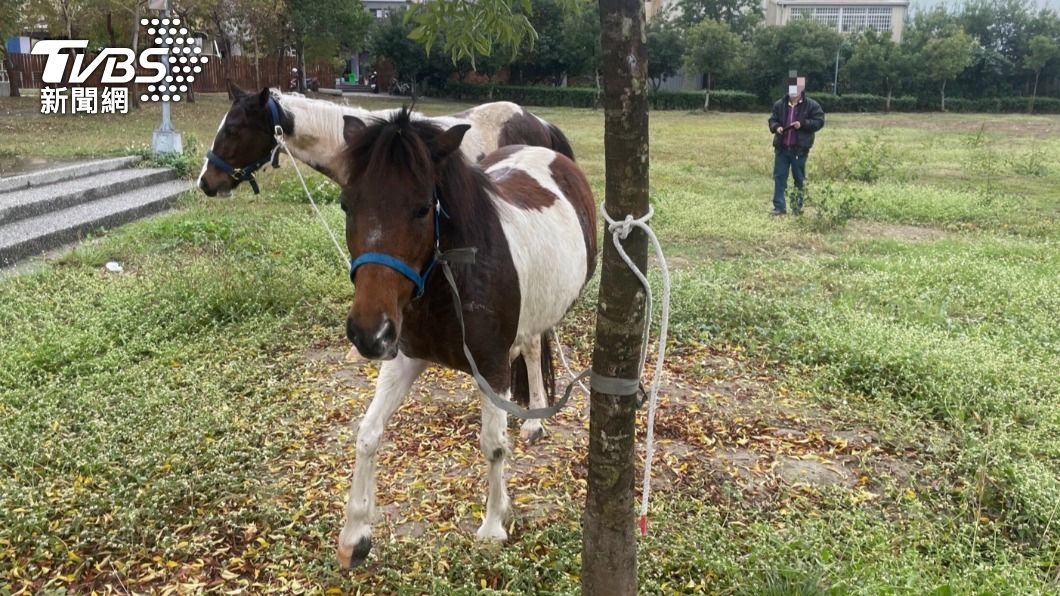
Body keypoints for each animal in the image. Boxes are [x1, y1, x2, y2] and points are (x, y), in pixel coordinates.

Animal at [334, 108, 596, 568]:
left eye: (423, 209)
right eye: (348, 204)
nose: (367, 333)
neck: (455, 276)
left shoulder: (491, 369)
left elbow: (493, 445)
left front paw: (493, 526)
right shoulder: (404, 358)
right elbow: (368, 433)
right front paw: (355, 535)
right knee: (530, 345)